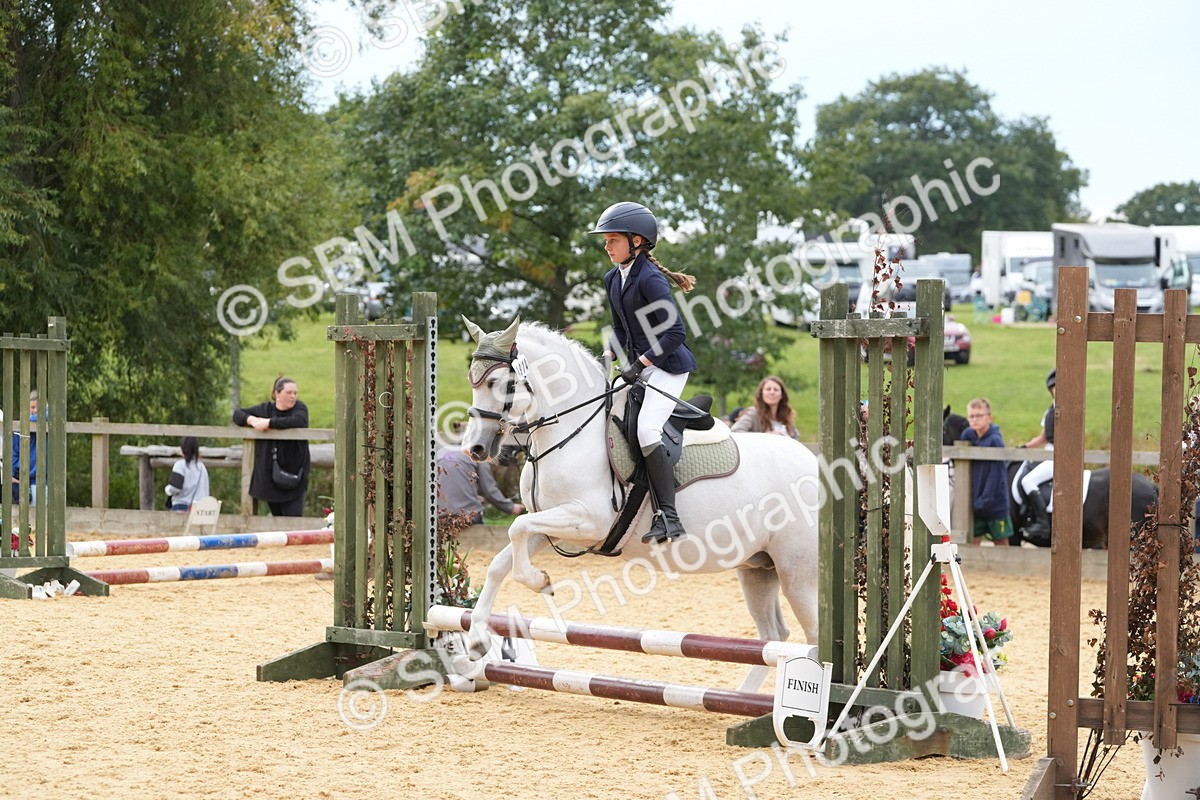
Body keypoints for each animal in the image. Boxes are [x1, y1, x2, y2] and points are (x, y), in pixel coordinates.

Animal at [458, 317, 821, 691]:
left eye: (497, 383)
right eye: (472, 379)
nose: (475, 448)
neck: (572, 431)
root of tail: (818, 464)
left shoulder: (589, 520)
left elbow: (516, 528)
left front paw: (539, 582)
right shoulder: (554, 525)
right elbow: (502, 559)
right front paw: (478, 640)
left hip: (797, 571)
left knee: (813, 637)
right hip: (758, 568)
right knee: (773, 634)